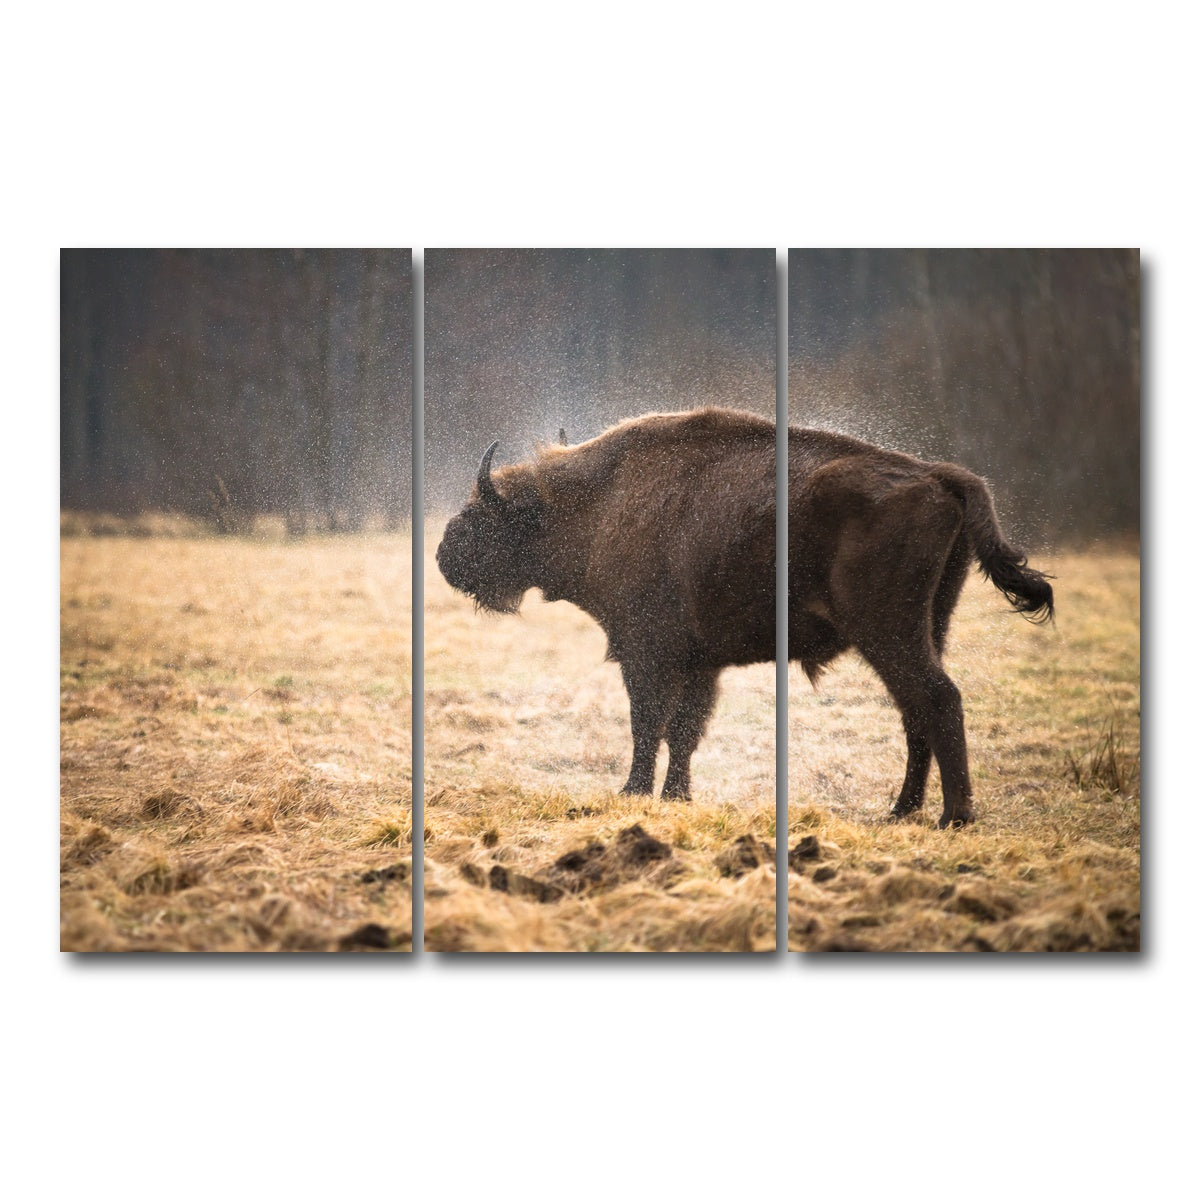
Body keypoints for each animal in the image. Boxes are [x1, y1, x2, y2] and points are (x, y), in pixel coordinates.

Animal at [436, 407, 1052, 827]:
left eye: (485, 512)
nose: (443, 554)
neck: (598, 501)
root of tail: (942, 476)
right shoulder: (700, 663)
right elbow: (684, 731)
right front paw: (676, 796)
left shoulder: (646, 653)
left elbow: (649, 724)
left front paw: (632, 793)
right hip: (930, 625)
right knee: (915, 710)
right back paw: (900, 811)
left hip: (887, 631)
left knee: (937, 698)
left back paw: (952, 816)